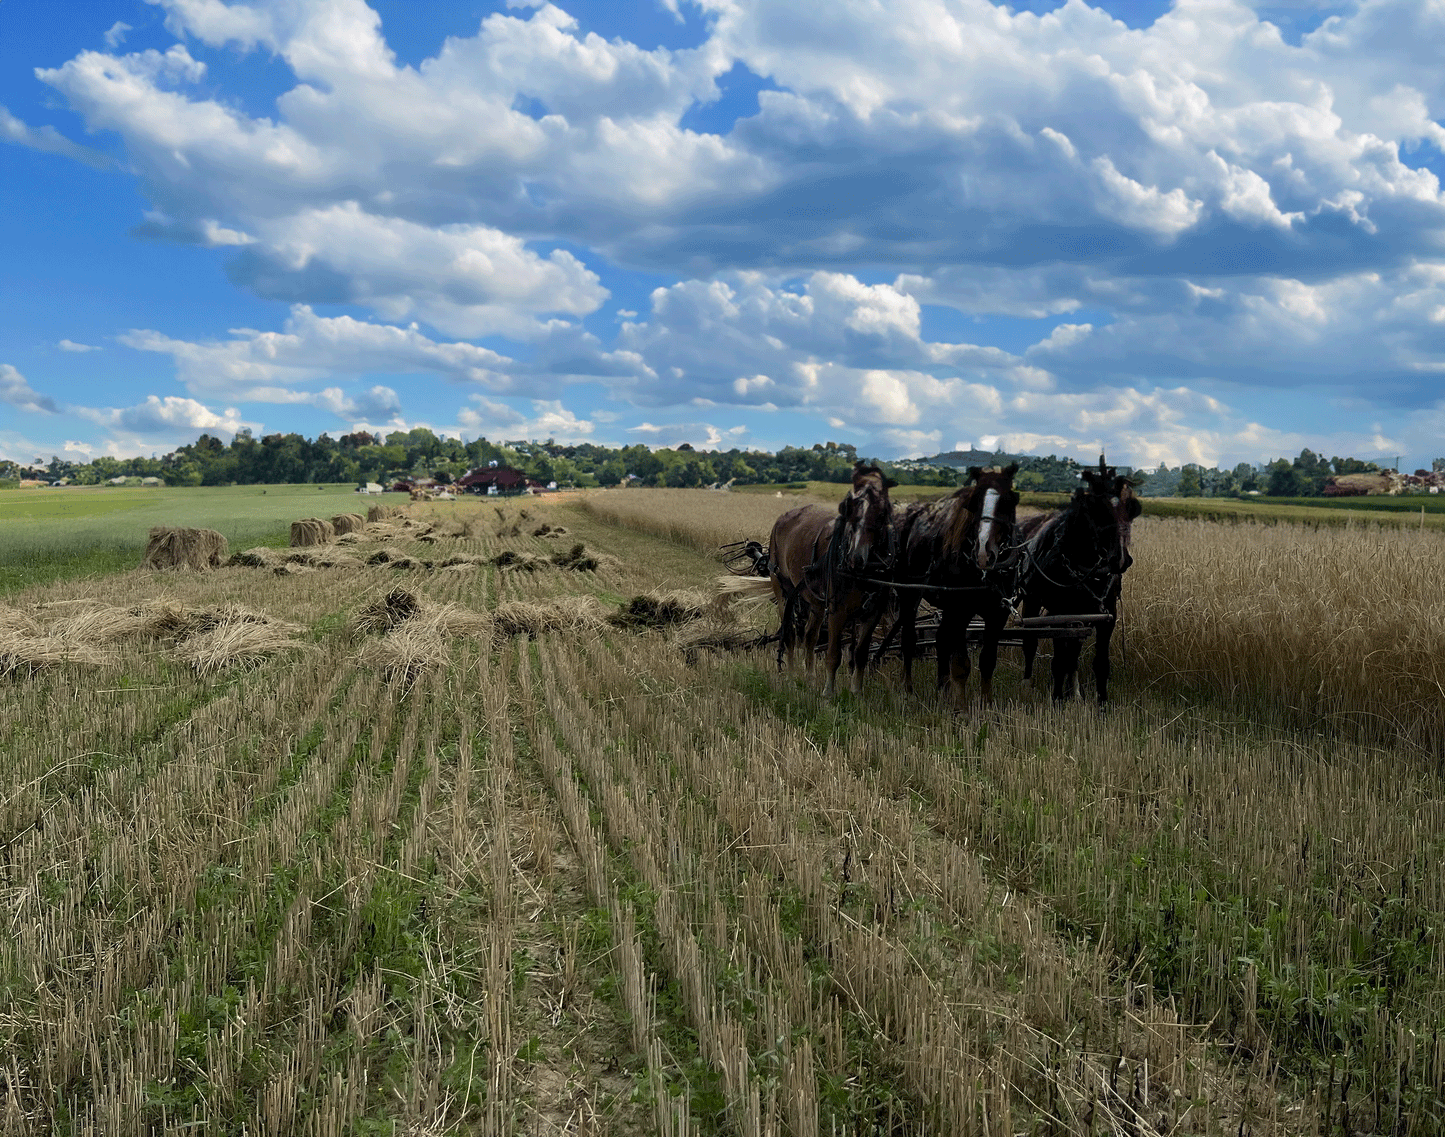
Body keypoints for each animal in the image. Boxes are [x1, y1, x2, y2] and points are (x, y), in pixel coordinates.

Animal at [768, 462, 890, 693]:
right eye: (850, 512)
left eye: (880, 514)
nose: (856, 557)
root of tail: (781, 519)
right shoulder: (837, 610)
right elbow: (834, 654)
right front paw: (828, 693)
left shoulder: (873, 613)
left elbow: (860, 655)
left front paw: (856, 692)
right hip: (782, 587)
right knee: (790, 634)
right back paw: (791, 677)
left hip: (815, 600)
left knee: (809, 636)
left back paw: (809, 678)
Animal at [884, 462, 1023, 702]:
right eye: (973, 504)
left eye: (1008, 501)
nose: (984, 553)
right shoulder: (961, 609)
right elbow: (961, 665)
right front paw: (961, 708)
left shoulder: (998, 614)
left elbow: (987, 661)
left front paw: (986, 704)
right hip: (909, 594)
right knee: (909, 639)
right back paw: (908, 689)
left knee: (941, 638)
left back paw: (943, 688)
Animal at [1017, 453, 1138, 702]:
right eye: (1098, 510)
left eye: (1131, 508)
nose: (1121, 559)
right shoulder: (1059, 613)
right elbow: (1058, 661)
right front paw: (1056, 700)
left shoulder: (1106, 615)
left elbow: (1099, 663)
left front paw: (1101, 703)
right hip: (1032, 600)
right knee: (1030, 643)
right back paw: (1028, 683)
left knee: (1073, 651)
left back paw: (1075, 693)